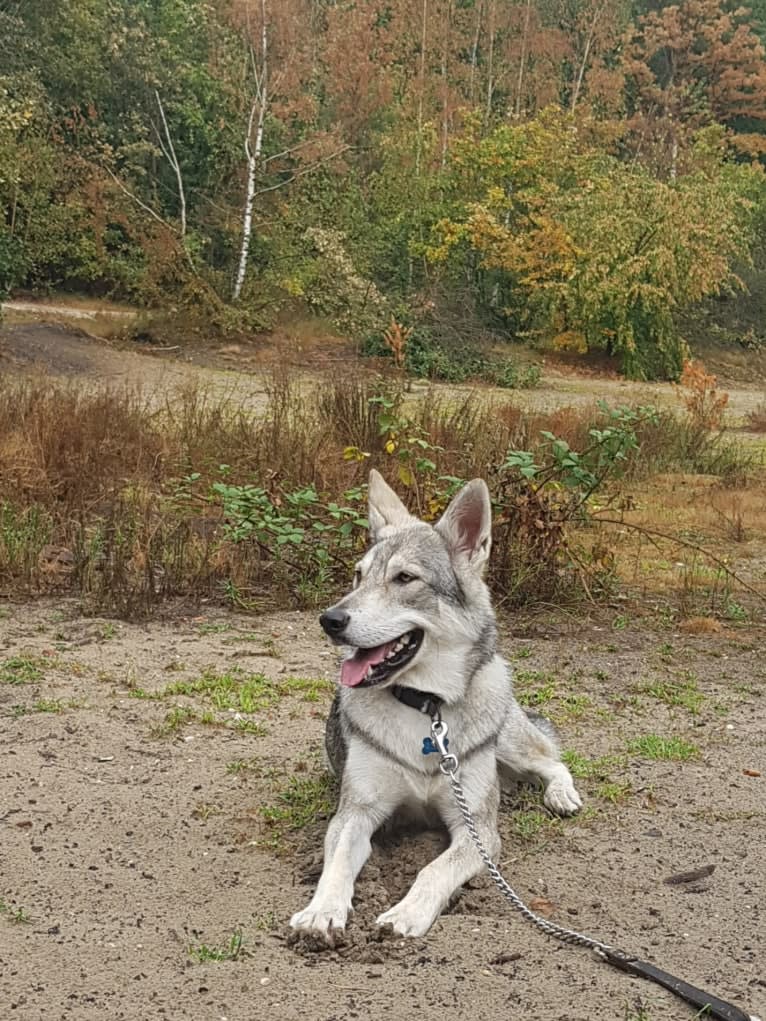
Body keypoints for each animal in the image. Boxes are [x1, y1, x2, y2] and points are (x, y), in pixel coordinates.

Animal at [290, 469, 584, 939]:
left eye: (405, 578)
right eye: (357, 576)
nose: (330, 620)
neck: (427, 709)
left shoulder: (476, 830)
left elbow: (433, 870)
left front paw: (405, 915)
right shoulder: (355, 814)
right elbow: (335, 866)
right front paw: (321, 912)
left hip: (508, 743)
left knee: (553, 762)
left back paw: (561, 796)